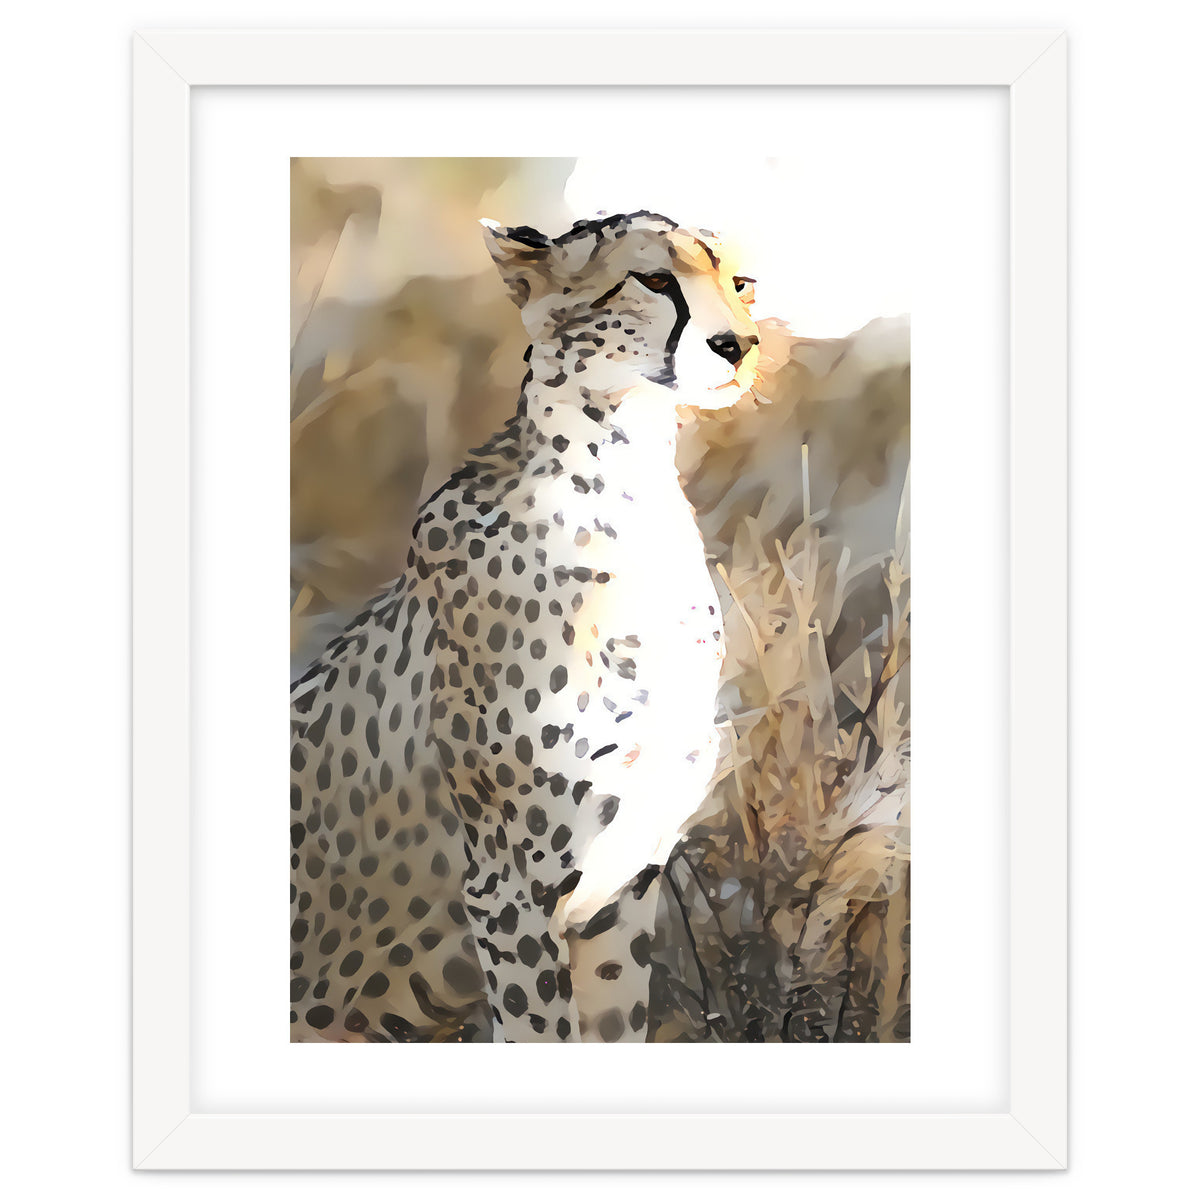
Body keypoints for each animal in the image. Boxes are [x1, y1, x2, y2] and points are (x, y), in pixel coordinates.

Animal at [290, 210, 760, 1042]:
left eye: (740, 283)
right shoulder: (508, 893)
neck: (626, 488)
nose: (740, 345)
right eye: (654, 278)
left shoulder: (618, 894)